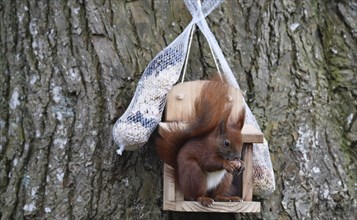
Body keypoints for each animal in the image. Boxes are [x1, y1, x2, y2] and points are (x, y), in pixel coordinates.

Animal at [156, 77, 245, 206]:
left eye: (242, 142)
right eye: (226, 143)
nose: (237, 157)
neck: (214, 145)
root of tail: (183, 185)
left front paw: (241, 164)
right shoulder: (205, 151)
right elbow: (209, 162)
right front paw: (226, 164)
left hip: (225, 178)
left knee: (217, 195)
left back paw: (228, 198)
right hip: (194, 173)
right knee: (196, 195)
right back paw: (203, 199)